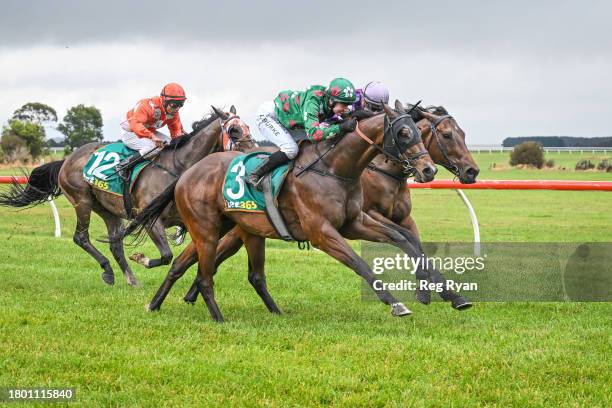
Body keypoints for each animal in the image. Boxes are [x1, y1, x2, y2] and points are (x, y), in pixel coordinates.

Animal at [0, 107, 253, 286]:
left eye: (248, 126)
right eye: (234, 130)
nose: (253, 154)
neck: (177, 167)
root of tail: (67, 159)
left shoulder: (187, 219)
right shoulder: (150, 220)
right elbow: (166, 255)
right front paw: (142, 258)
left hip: (109, 211)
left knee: (115, 245)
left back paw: (130, 279)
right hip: (82, 201)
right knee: (81, 238)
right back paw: (108, 272)